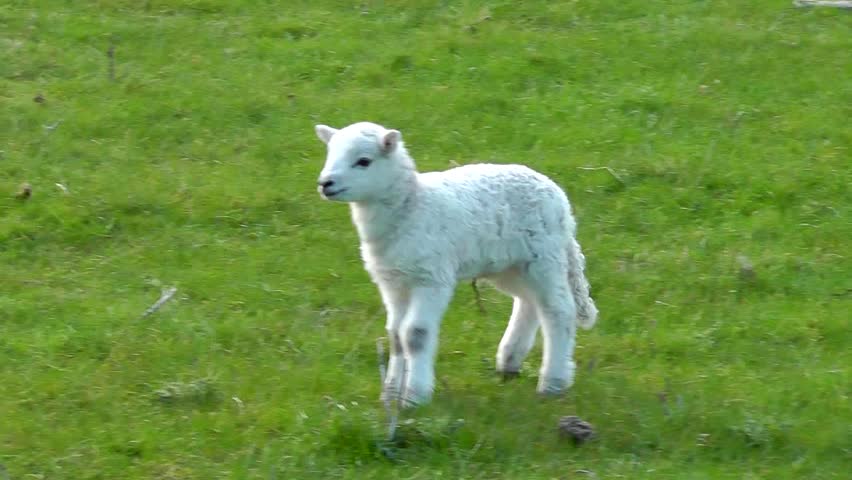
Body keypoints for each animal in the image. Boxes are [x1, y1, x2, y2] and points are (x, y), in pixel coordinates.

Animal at [314, 121, 598, 408]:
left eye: (364, 161)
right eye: (330, 154)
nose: (325, 183)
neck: (410, 208)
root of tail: (560, 201)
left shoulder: (432, 278)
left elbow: (415, 335)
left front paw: (414, 397)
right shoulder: (392, 282)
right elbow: (395, 336)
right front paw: (391, 394)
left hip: (544, 256)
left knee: (558, 309)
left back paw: (553, 382)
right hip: (510, 264)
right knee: (529, 302)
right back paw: (509, 362)